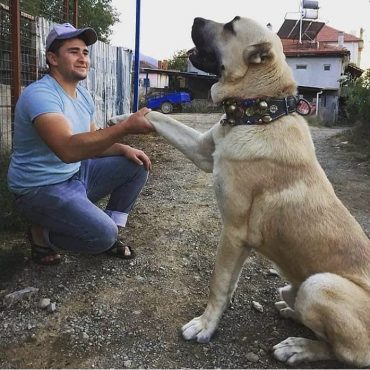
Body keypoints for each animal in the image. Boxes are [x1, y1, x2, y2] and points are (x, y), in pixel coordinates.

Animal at [110, 16, 370, 368]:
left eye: (231, 26)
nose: (195, 19)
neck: (256, 114)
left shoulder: (233, 232)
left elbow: (218, 283)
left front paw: (205, 326)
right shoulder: (203, 153)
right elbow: (158, 115)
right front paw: (121, 118)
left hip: (319, 285)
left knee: (347, 352)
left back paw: (298, 347)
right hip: (300, 286)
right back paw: (290, 311)